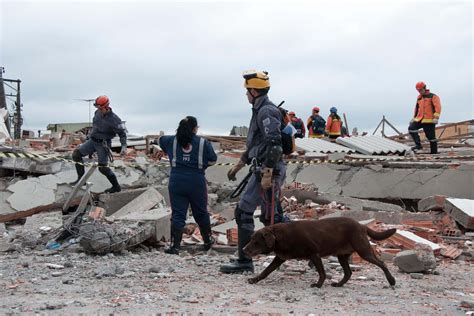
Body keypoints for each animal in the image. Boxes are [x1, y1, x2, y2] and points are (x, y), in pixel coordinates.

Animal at [244, 218, 396, 288]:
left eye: (255, 241)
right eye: (250, 239)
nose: (244, 249)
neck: (280, 237)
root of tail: (361, 225)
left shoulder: (314, 255)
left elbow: (321, 272)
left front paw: (318, 284)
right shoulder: (279, 258)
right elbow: (266, 271)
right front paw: (254, 279)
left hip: (364, 251)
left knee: (382, 263)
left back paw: (391, 280)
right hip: (342, 257)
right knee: (348, 272)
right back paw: (339, 284)